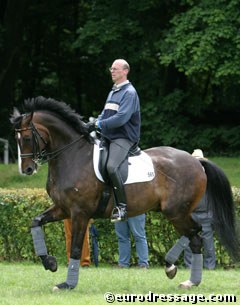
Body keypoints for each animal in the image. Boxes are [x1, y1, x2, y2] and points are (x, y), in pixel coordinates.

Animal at [11, 97, 240, 290]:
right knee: (195, 235)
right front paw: (49, 262)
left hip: (176, 211)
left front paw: (67, 284)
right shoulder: (63, 209)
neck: (72, 156)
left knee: (196, 234)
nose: (27, 169)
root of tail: (197, 162)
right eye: (17, 138)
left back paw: (177, 270)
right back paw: (185, 277)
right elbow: (35, 222)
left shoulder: (80, 213)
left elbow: (75, 248)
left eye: (28, 137)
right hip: (175, 212)